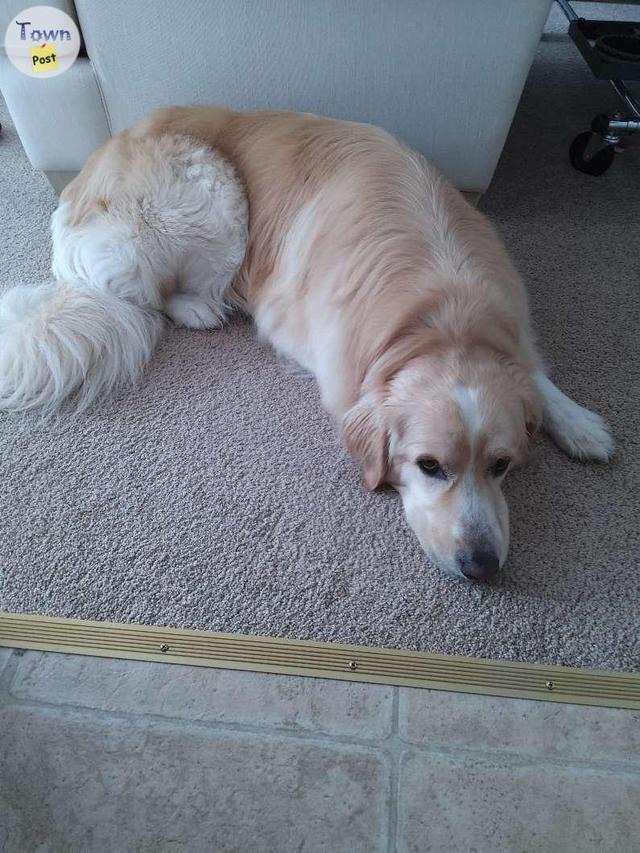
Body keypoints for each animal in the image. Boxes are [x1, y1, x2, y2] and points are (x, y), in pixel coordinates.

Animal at [0, 106, 612, 584]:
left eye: (502, 465)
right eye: (429, 466)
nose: (482, 567)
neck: (443, 318)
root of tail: (86, 174)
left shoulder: (511, 330)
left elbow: (534, 373)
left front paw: (579, 422)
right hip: (215, 198)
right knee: (147, 294)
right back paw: (199, 308)